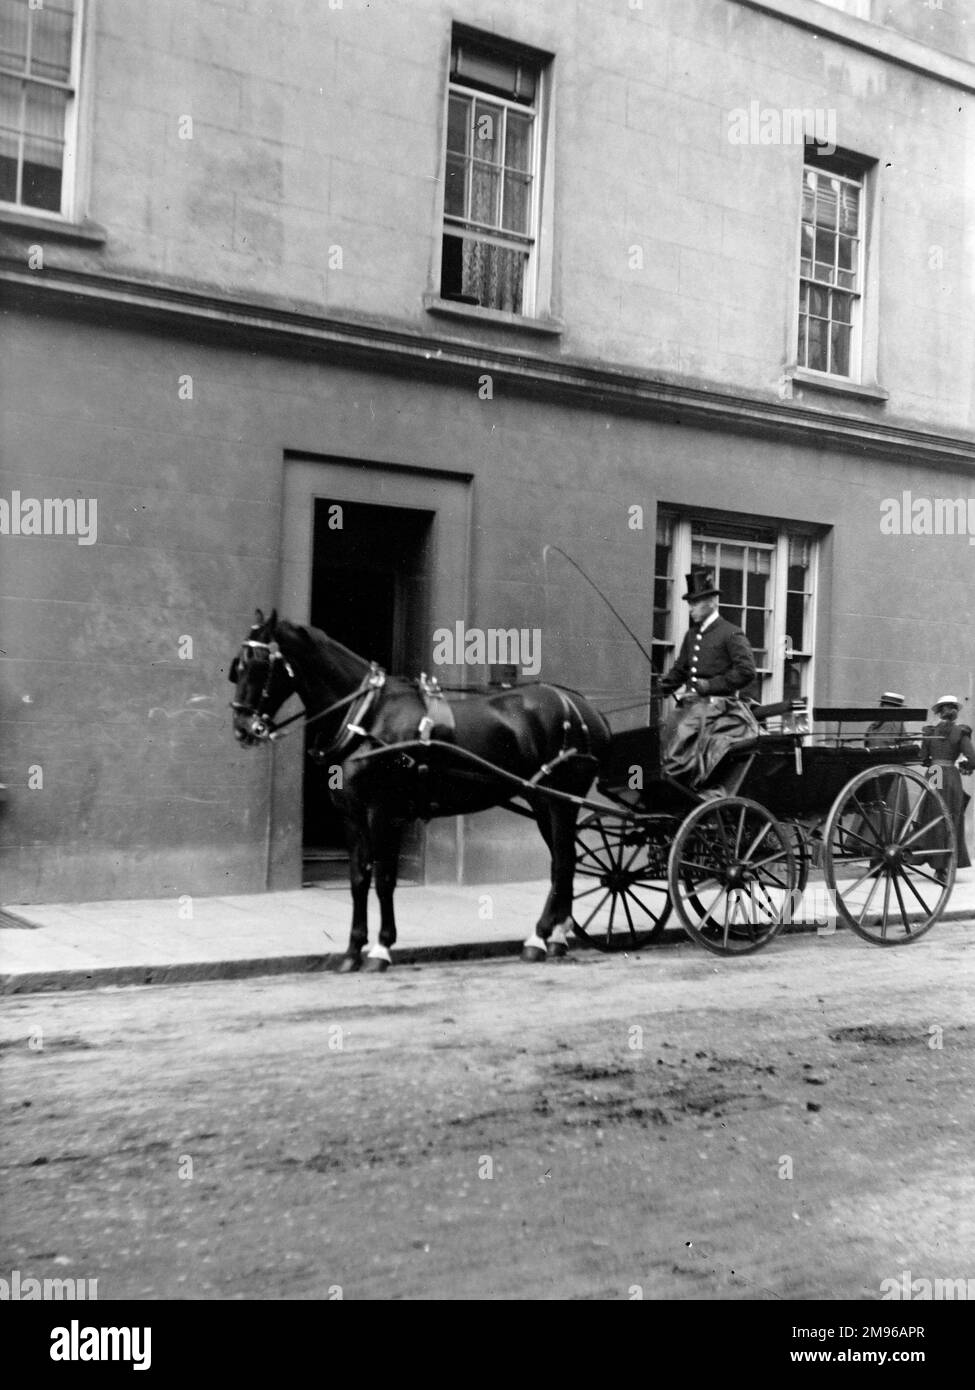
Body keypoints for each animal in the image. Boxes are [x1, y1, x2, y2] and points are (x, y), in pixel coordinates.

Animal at [229, 608, 609, 978]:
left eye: (258, 664)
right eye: (238, 667)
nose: (243, 729)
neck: (366, 718)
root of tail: (584, 707)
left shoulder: (382, 812)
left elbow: (383, 878)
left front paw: (381, 948)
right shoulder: (352, 815)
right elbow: (358, 879)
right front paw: (352, 951)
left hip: (559, 801)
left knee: (563, 862)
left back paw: (539, 936)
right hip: (543, 802)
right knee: (566, 860)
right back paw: (557, 937)